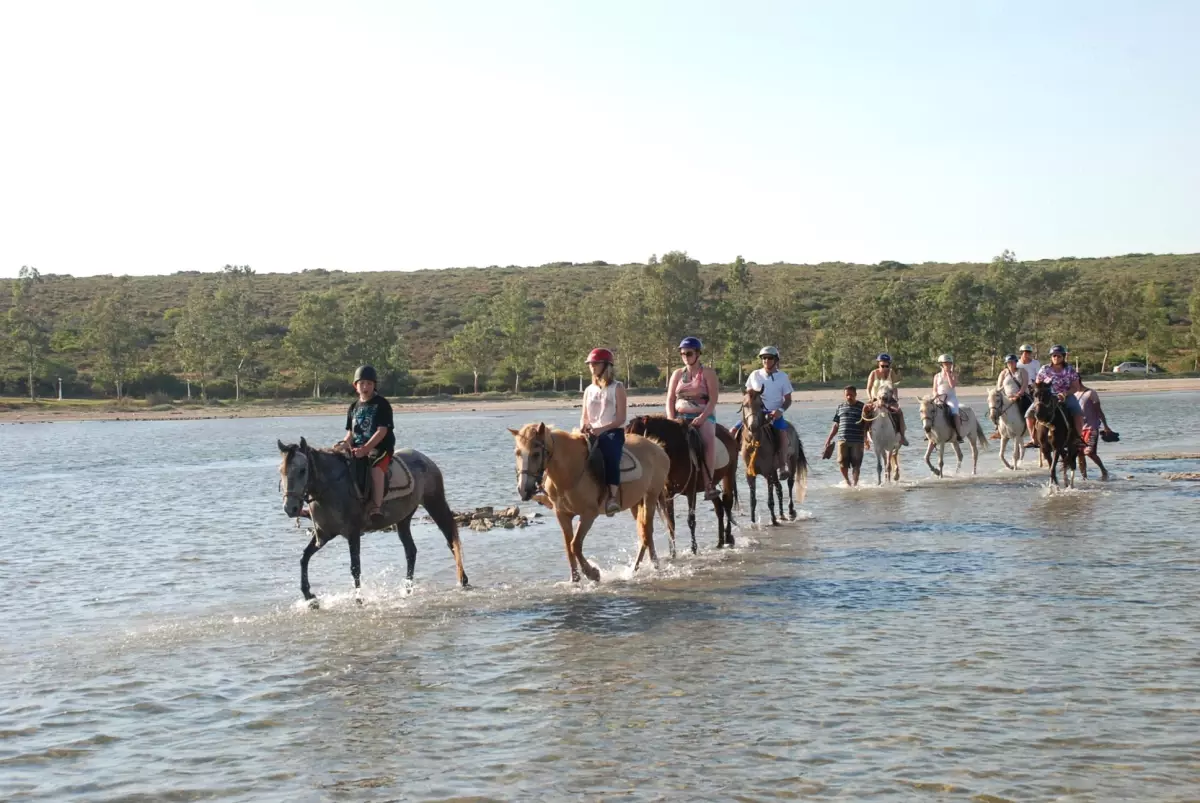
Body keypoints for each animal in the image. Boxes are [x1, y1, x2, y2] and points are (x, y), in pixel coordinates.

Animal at [279, 441, 468, 604]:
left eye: (303, 470)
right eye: (281, 471)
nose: (290, 508)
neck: (331, 487)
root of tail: (426, 459)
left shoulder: (353, 533)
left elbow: (355, 567)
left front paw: (359, 599)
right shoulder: (324, 535)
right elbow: (304, 558)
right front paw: (309, 596)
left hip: (434, 503)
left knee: (450, 540)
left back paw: (463, 580)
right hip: (403, 518)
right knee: (411, 551)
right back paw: (407, 589)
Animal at [508, 420, 672, 583]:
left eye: (536, 454)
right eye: (517, 453)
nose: (523, 490)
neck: (570, 472)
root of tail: (657, 447)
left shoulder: (588, 515)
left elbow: (575, 545)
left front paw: (592, 573)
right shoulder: (562, 515)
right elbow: (568, 547)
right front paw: (574, 580)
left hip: (651, 497)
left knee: (647, 531)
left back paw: (655, 566)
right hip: (636, 502)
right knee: (643, 533)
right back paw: (635, 569)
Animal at [624, 417, 734, 554]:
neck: (676, 451)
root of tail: (727, 432)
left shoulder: (691, 491)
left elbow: (691, 520)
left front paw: (693, 550)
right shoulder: (668, 493)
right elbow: (670, 522)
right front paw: (673, 553)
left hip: (729, 473)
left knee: (728, 503)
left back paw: (729, 538)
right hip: (712, 484)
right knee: (719, 507)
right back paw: (720, 542)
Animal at [734, 388, 811, 525]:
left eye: (760, 405)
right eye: (745, 405)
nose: (753, 426)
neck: (754, 443)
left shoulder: (767, 473)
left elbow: (770, 500)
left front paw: (773, 520)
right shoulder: (751, 475)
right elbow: (753, 501)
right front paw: (753, 523)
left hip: (791, 461)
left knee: (790, 483)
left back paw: (790, 512)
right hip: (775, 470)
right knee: (779, 488)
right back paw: (782, 515)